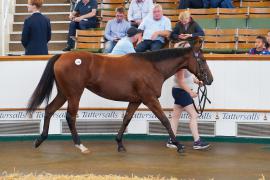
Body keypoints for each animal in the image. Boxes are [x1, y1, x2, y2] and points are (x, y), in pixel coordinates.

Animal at [27, 38, 213, 155]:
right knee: (70, 117)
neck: (153, 67)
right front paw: (179, 145)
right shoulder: (150, 99)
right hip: (74, 93)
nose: (209, 80)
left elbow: (126, 120)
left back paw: (39, 140)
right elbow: (165, 121)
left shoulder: (136, 100)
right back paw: (81, 146)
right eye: (203, 60)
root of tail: (62, 56)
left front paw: (119, 144)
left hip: (63, 93)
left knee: (49, 109)